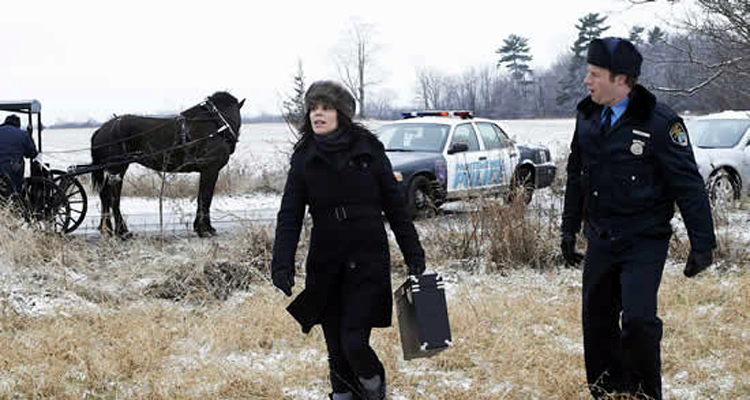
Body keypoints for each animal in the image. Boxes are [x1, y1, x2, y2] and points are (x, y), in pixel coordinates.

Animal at [90, 92, 245, 236]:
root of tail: (101, 129)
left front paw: (203, 227)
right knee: (113, 197)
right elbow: (205, 197)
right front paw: (204, 229)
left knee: (105, 195)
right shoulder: (210, 169)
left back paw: (107, 228)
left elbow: (203, 197)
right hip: (117, 168)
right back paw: (122, 231)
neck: (216, 124)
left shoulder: (206, 171)